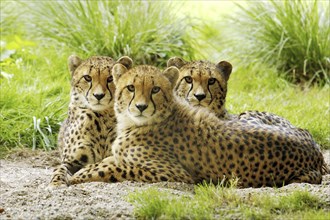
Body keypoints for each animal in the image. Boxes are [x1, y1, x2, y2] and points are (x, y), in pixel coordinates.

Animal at [49, 55, 131, 187]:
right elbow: (59, 168)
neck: (102, 117)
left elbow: (104, 165)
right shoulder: (71, 161)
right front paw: (56, 183)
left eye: (110, 78)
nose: (98, 95)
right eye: (87, 77)